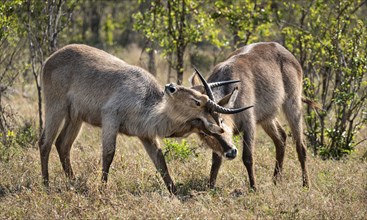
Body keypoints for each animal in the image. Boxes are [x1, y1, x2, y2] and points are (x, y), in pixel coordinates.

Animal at [38, 43, 250, 194]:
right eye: (196, 99)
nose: (171, 87)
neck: (148, 102)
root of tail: (50, 58)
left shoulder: (146, 135)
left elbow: (160, 161)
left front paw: (175, 192)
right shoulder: (110, 118)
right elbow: (108, 154)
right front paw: (102, 188)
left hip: (75, 117)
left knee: (62, 144)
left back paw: (72, 182)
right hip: (56, 107)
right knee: (45, 142)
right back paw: (46, 185)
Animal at [191, 41, 312, 191]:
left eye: (221, 121)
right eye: (204, 133)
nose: (231, 153)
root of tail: (279, 46)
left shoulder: (249, 124)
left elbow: (247, 158)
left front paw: (254, 188)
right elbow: (216, 160)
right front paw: (211, 187)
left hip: (292, 104)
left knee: (301, 147)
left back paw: (306, 185)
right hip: (267, 117)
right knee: (281, 137)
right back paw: (276, 180)